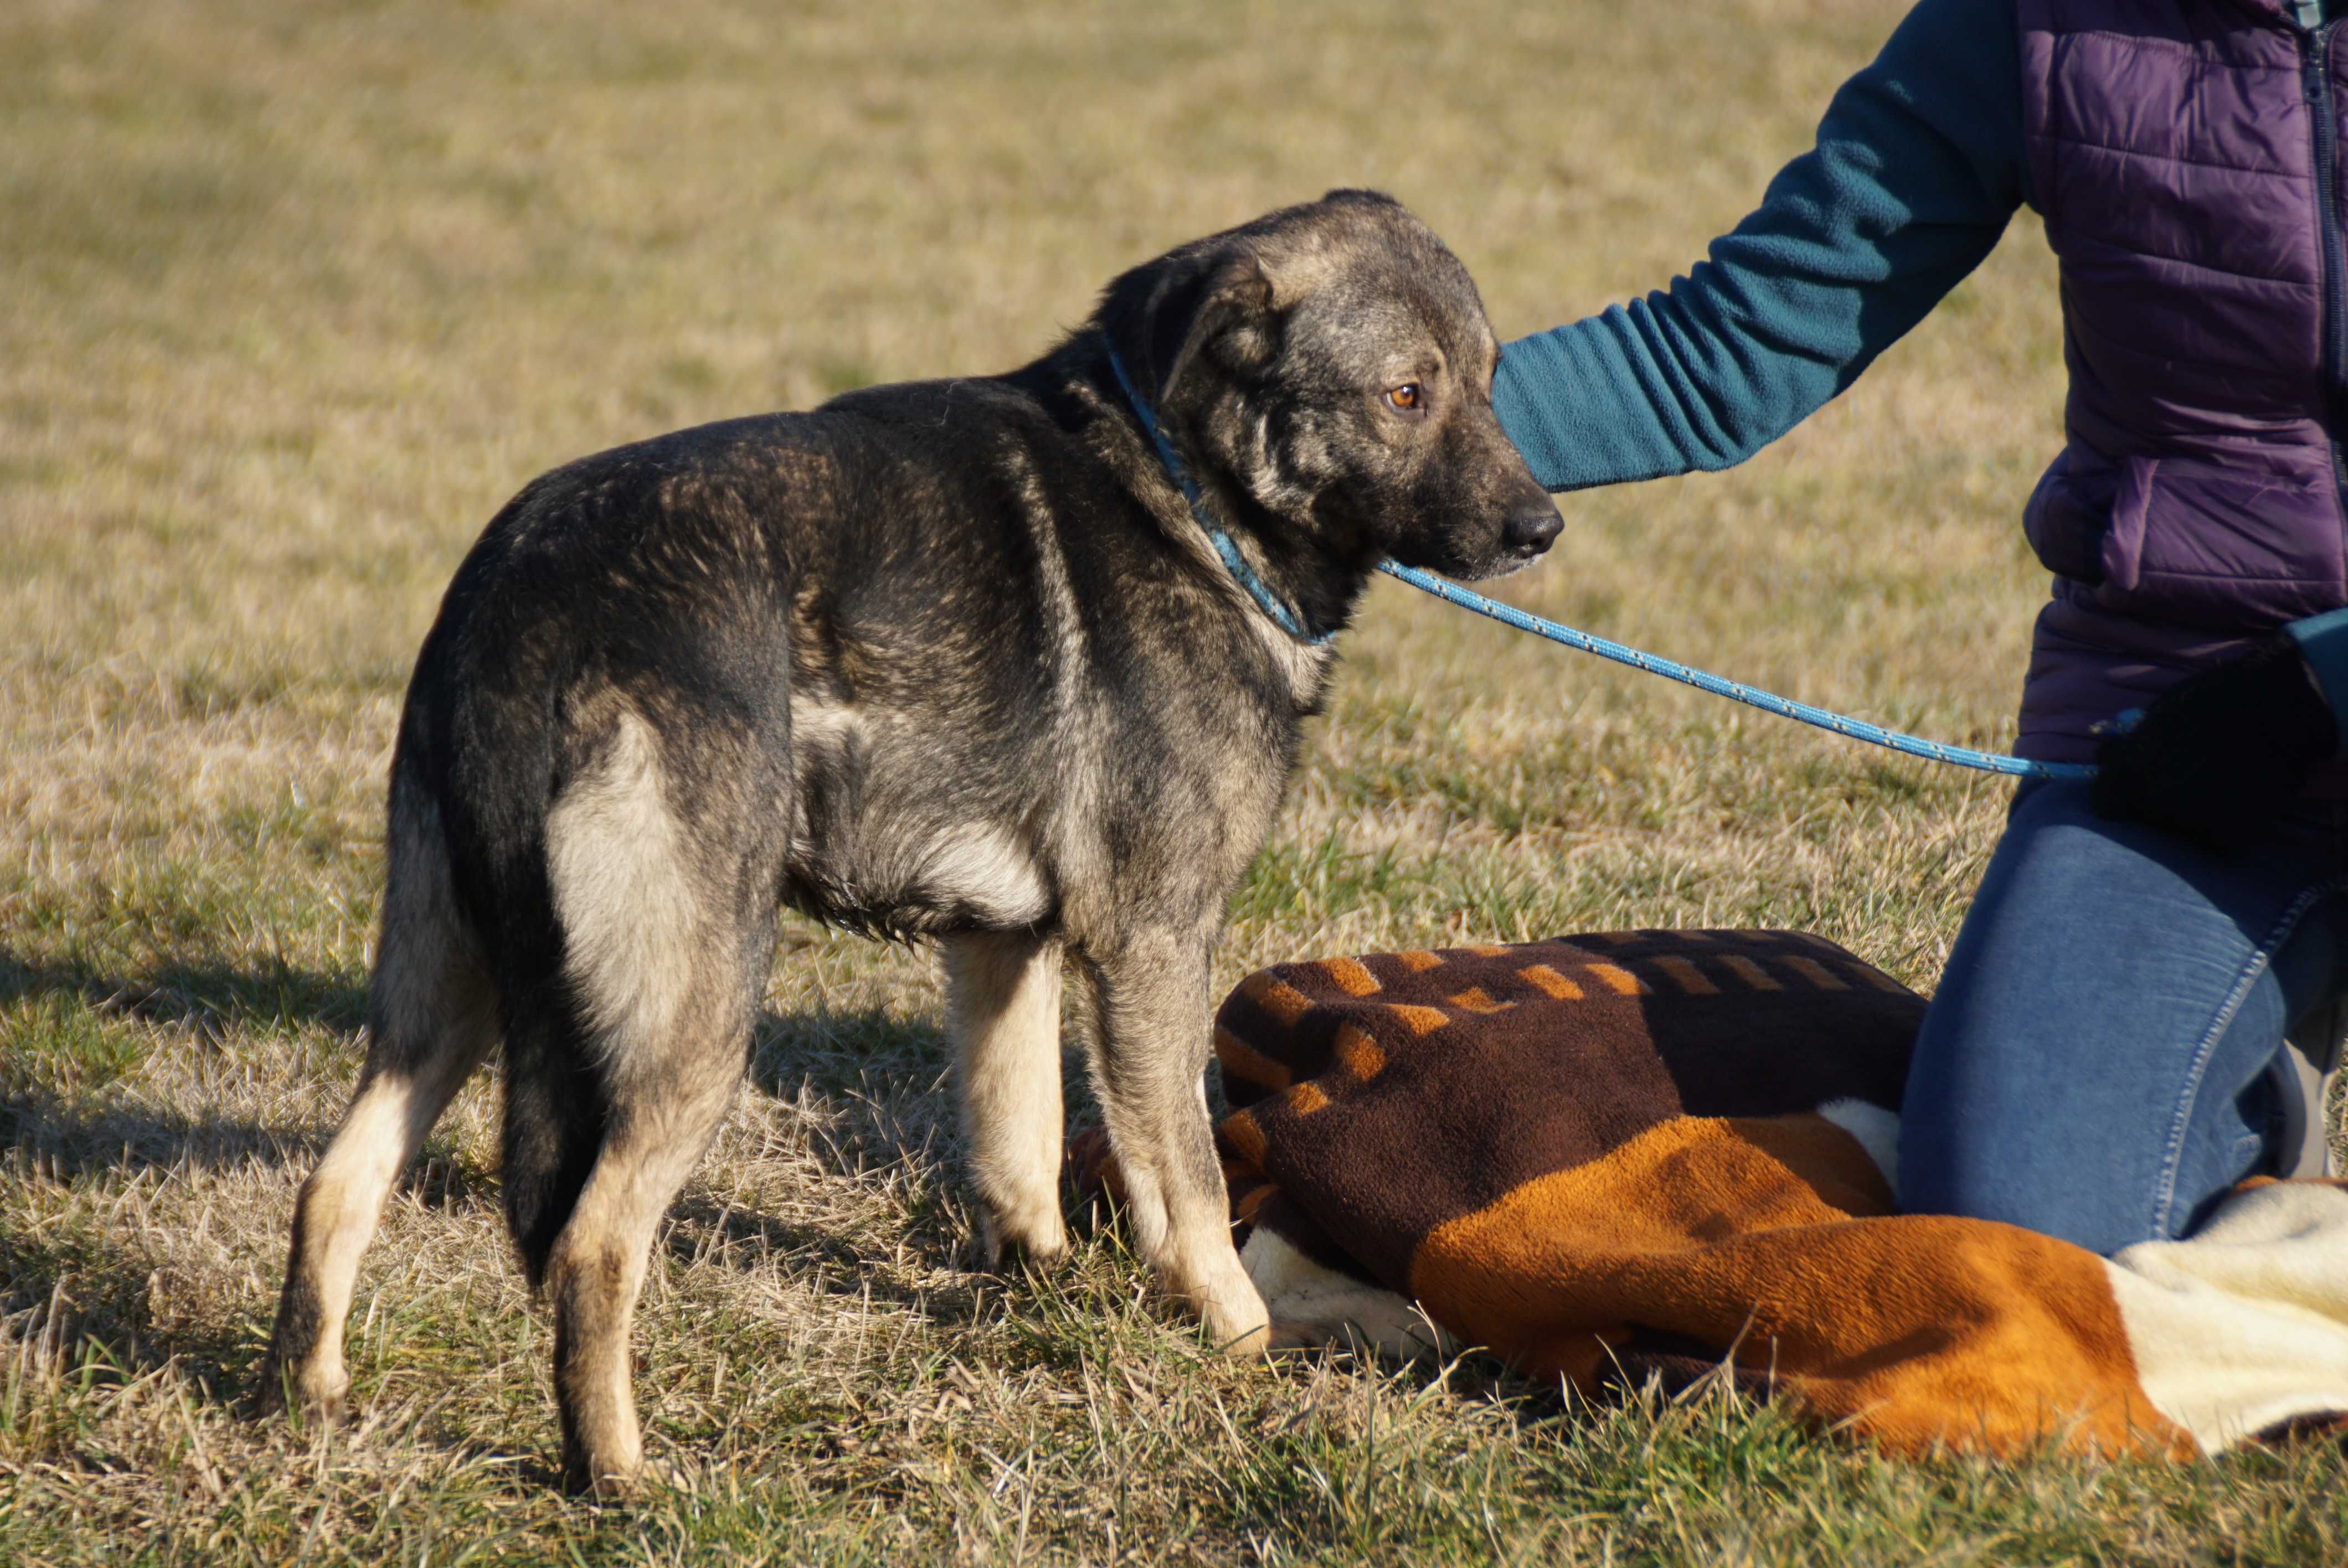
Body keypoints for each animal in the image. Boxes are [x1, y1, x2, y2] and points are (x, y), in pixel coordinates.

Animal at [257, 190, 1559, 1493]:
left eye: (1493, 381)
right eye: (1406, 394)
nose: (1541, 526)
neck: (1184, 495)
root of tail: (530, 594)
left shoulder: (1004, 946)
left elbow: (1020, 1135)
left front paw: (1041, 1285)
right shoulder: (1152, 944)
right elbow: (1189, 1184)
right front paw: (1251, 1347)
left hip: (452, 988)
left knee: (337, 1179)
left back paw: (304, 1404)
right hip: (698, 1010)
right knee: (592, 1240)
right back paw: (617, 1476)